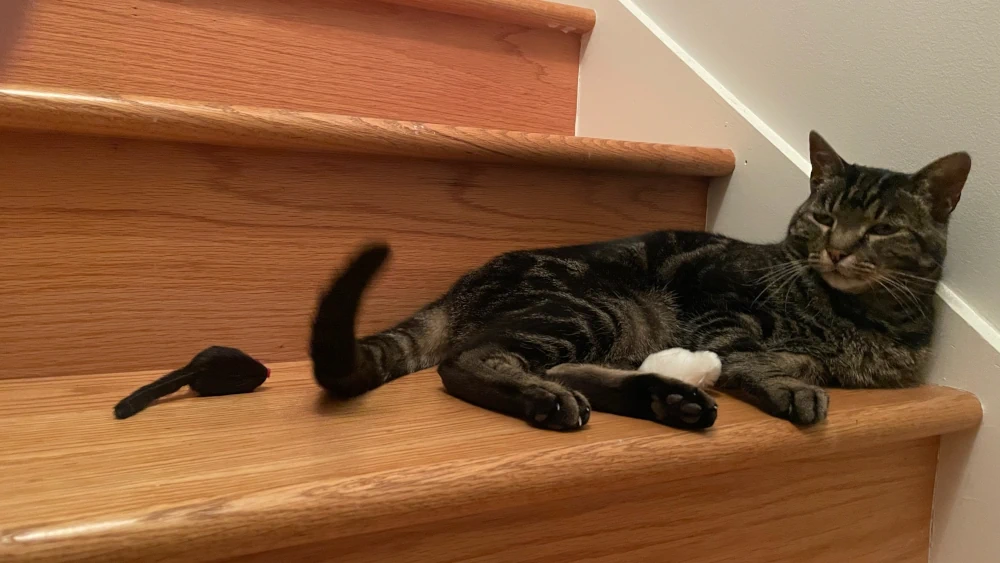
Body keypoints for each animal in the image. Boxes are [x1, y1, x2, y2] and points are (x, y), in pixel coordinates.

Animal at [310, 132, 968, 432]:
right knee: (471, 360)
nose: (836, 249)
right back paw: (547, 398)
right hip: (596, 306)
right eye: (825, 217)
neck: (865, 316)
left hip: (612, 323)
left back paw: (664, 397)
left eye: (881, 229)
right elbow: (755, 356)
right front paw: (790, 382)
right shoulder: (719, 303)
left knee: (562, 367)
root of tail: (460, 286)